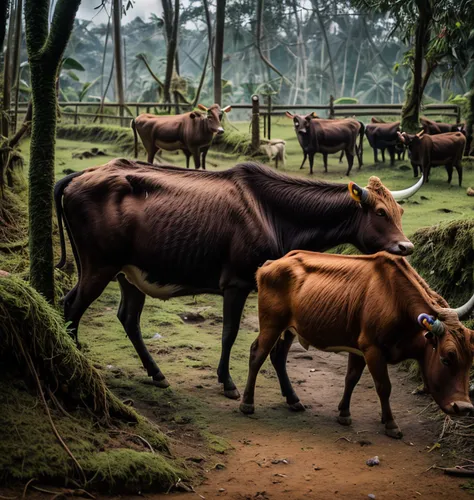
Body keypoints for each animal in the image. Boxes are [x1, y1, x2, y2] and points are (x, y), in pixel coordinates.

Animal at [54, 160, 422, 398]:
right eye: (380, 212)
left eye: (400, 211)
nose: (406, 246)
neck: (274, 214)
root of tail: (77, 177)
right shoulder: (237, 283)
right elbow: (230, 333)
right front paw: (228, 382)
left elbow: (273, 343)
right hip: (98, 266)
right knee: (72, 306)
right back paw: (78, 365)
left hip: (128, 275)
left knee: (124, 318)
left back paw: (156, 374)